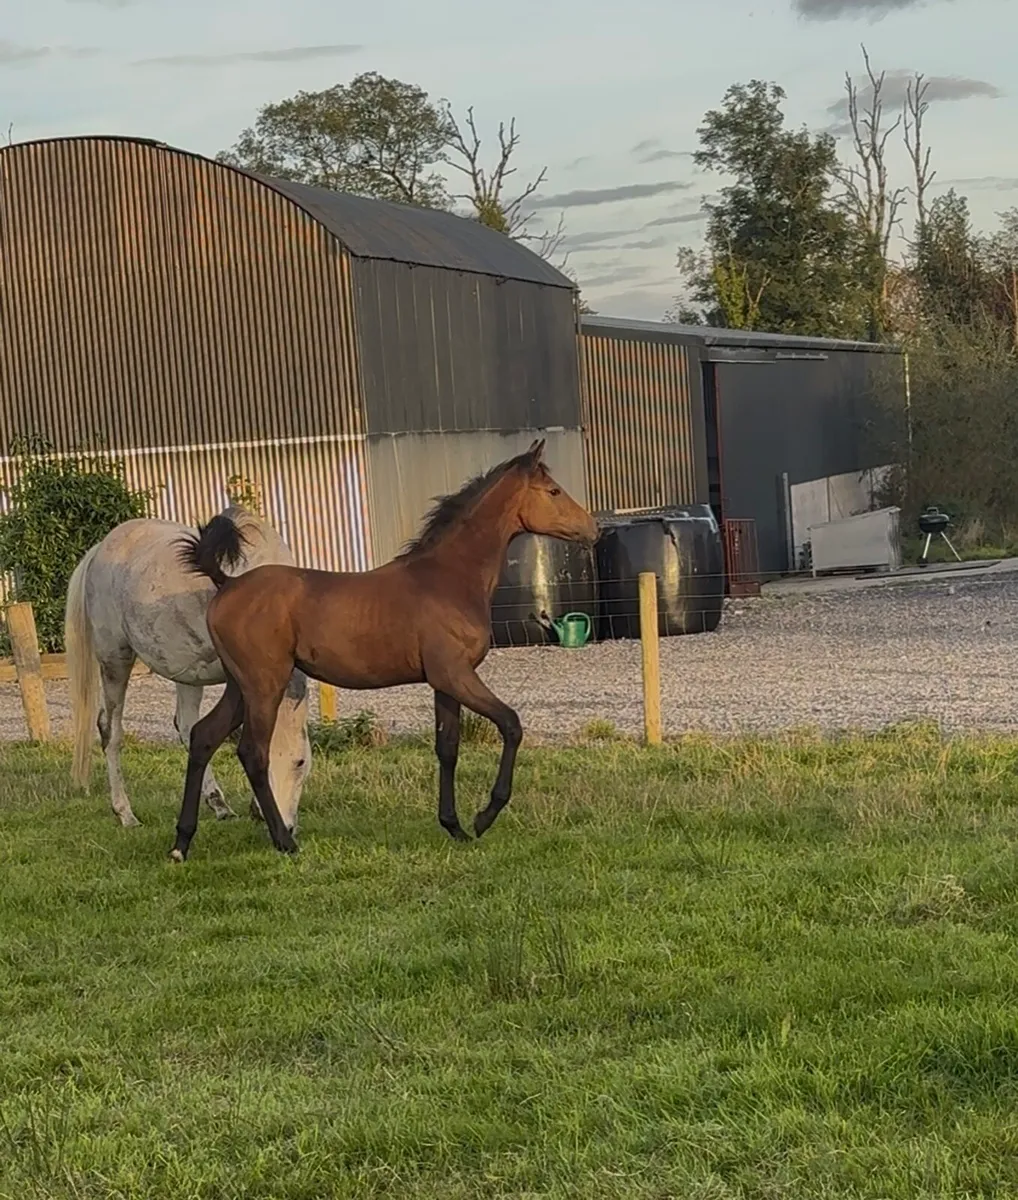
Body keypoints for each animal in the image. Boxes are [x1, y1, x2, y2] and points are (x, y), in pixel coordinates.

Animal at [64, 505, 312, 830]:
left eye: (300, 762)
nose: (285, 826)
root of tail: (99, 550)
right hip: (115, 660)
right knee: (110, 730)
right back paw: (125, 813)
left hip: (186, 671)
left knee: (186, 726)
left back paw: (218, 804)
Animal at [168, 439, 598, 862]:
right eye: (553, 491)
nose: (592, 529)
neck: (448, 578)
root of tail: (226, 583)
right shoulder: (456, 675)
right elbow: (511, 723)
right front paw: (483, 817)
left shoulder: (444, 684)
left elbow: (448, 748)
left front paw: (455, 827)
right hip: (264, 685)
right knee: (253, 753)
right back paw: (284, 842)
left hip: (240, 686)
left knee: (203, 737)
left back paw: (181, 843)